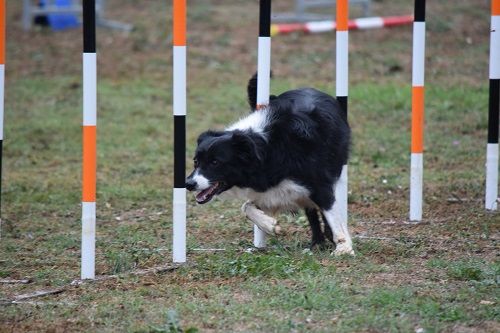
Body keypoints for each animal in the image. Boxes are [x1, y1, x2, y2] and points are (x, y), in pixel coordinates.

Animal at [186, 73, 354, 254]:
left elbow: (331, 213)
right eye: (196, 161)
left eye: (215, 162)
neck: (266, 147)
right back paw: (317, 242)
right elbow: (246, 207)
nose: (188, 184)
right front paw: (270, 225)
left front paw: (344, 247)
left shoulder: (319, 183)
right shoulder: (271, 188)